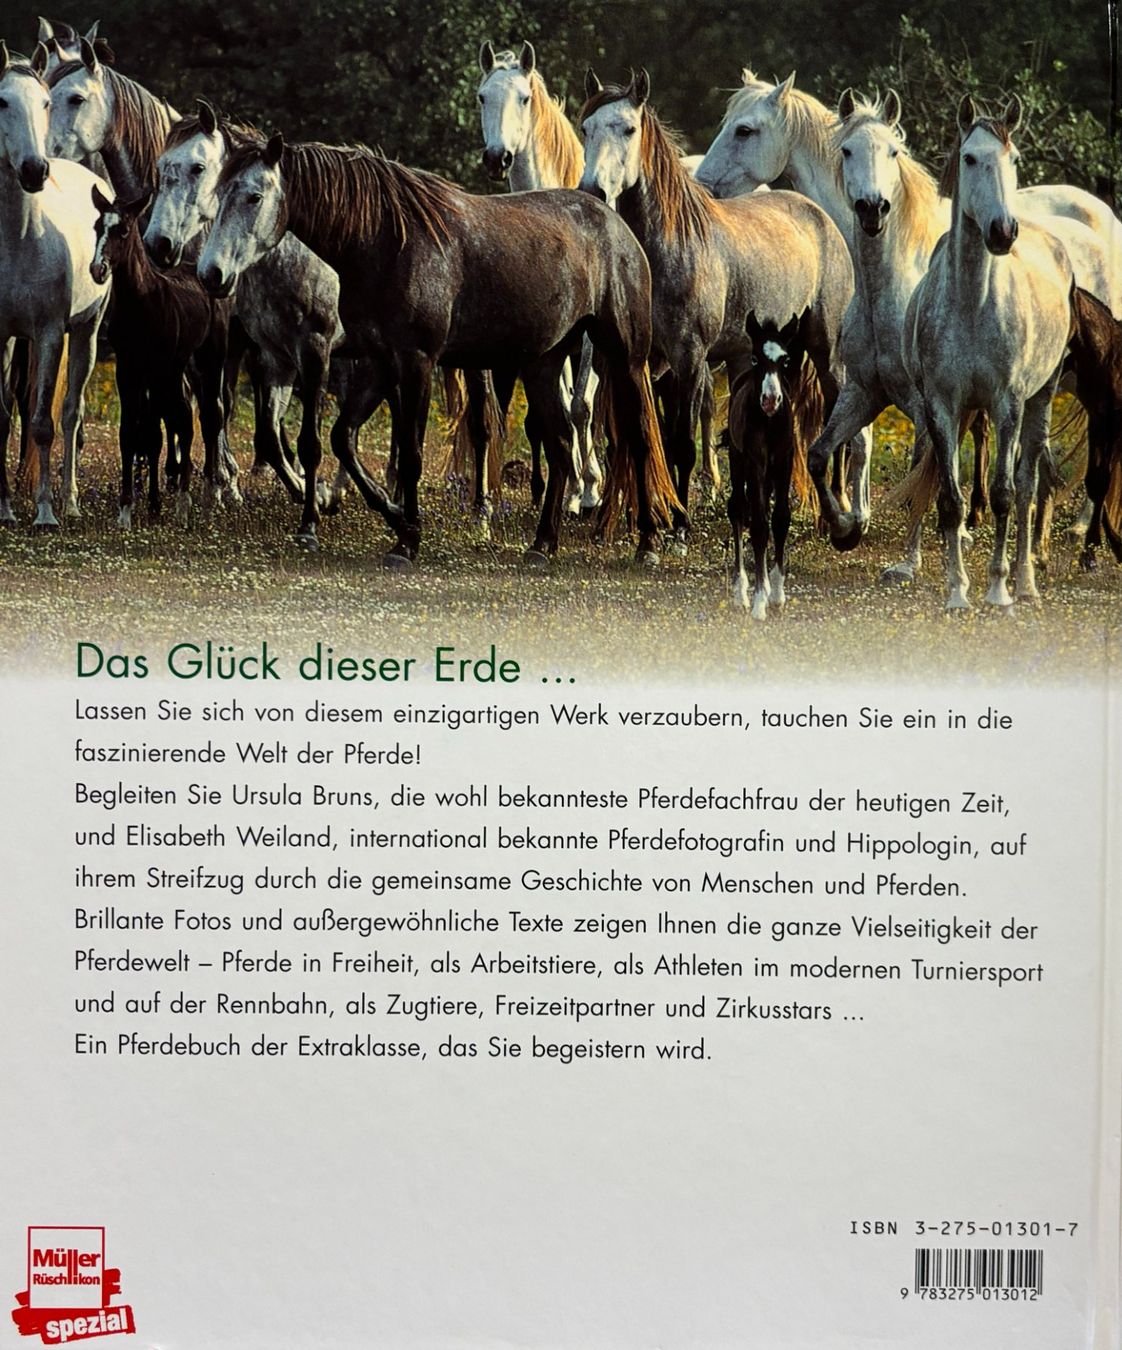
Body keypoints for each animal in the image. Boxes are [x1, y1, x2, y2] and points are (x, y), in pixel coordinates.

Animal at [90, 184, 235, 526]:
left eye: (123, 230)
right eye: (97, 227)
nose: (98, 269)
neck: (141, 303)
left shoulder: (156, 368)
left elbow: (156, 433)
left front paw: (166, 503)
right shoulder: (128, 369)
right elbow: (131, 433)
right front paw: (126, 511)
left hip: (207, 359)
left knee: (208, 416)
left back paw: (205, 498)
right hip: (178, 368)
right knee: (182, 417)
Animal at [196, 133, 679, 566]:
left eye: (254, 197)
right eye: (219, 194)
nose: (211, 274)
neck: (387, 241)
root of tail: (614, 225)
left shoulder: (415, 362)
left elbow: (410, 451)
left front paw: (406, 541)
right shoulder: (377, 362)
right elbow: (343, 438)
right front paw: (394, 514)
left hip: (625, 359)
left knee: (638, 441)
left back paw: (648, 543)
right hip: (542, 363)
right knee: (561, 446)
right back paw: (543, 545)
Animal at [578, 69, 853, 550]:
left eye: (628, 129)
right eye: (586, 128)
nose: (592, 189)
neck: (666, 248)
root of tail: (817, 214)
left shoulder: (688, 360)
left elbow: (681, 445)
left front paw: (679, 526)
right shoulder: (635, 361)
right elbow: (633, 439)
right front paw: (637, 526)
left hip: (827, 352)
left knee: (833, 418)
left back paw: (833, 516)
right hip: (753, 359)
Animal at [727, 311, 822, 620]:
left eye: (786, 359)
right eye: (756, 358)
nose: (770, 400)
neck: (769, 424)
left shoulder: (783, 464)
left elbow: (780, 519)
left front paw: (777, 593)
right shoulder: (755, 465)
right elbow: (758, 526)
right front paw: (758, 602)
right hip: (738, 462)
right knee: (738, 510)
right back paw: (741, 592)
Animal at [903, 96, 1075, 611]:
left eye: (1014, 159)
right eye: (969, 158)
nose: (1003, 231)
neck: (973, 301)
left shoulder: (1008, 404)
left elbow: (1002, 494)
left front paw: (998, 590)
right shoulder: (942, 406)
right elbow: (951, 499)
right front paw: (957, 591)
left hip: (1040, 400)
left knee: (1026, 487)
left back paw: (1026, 582)